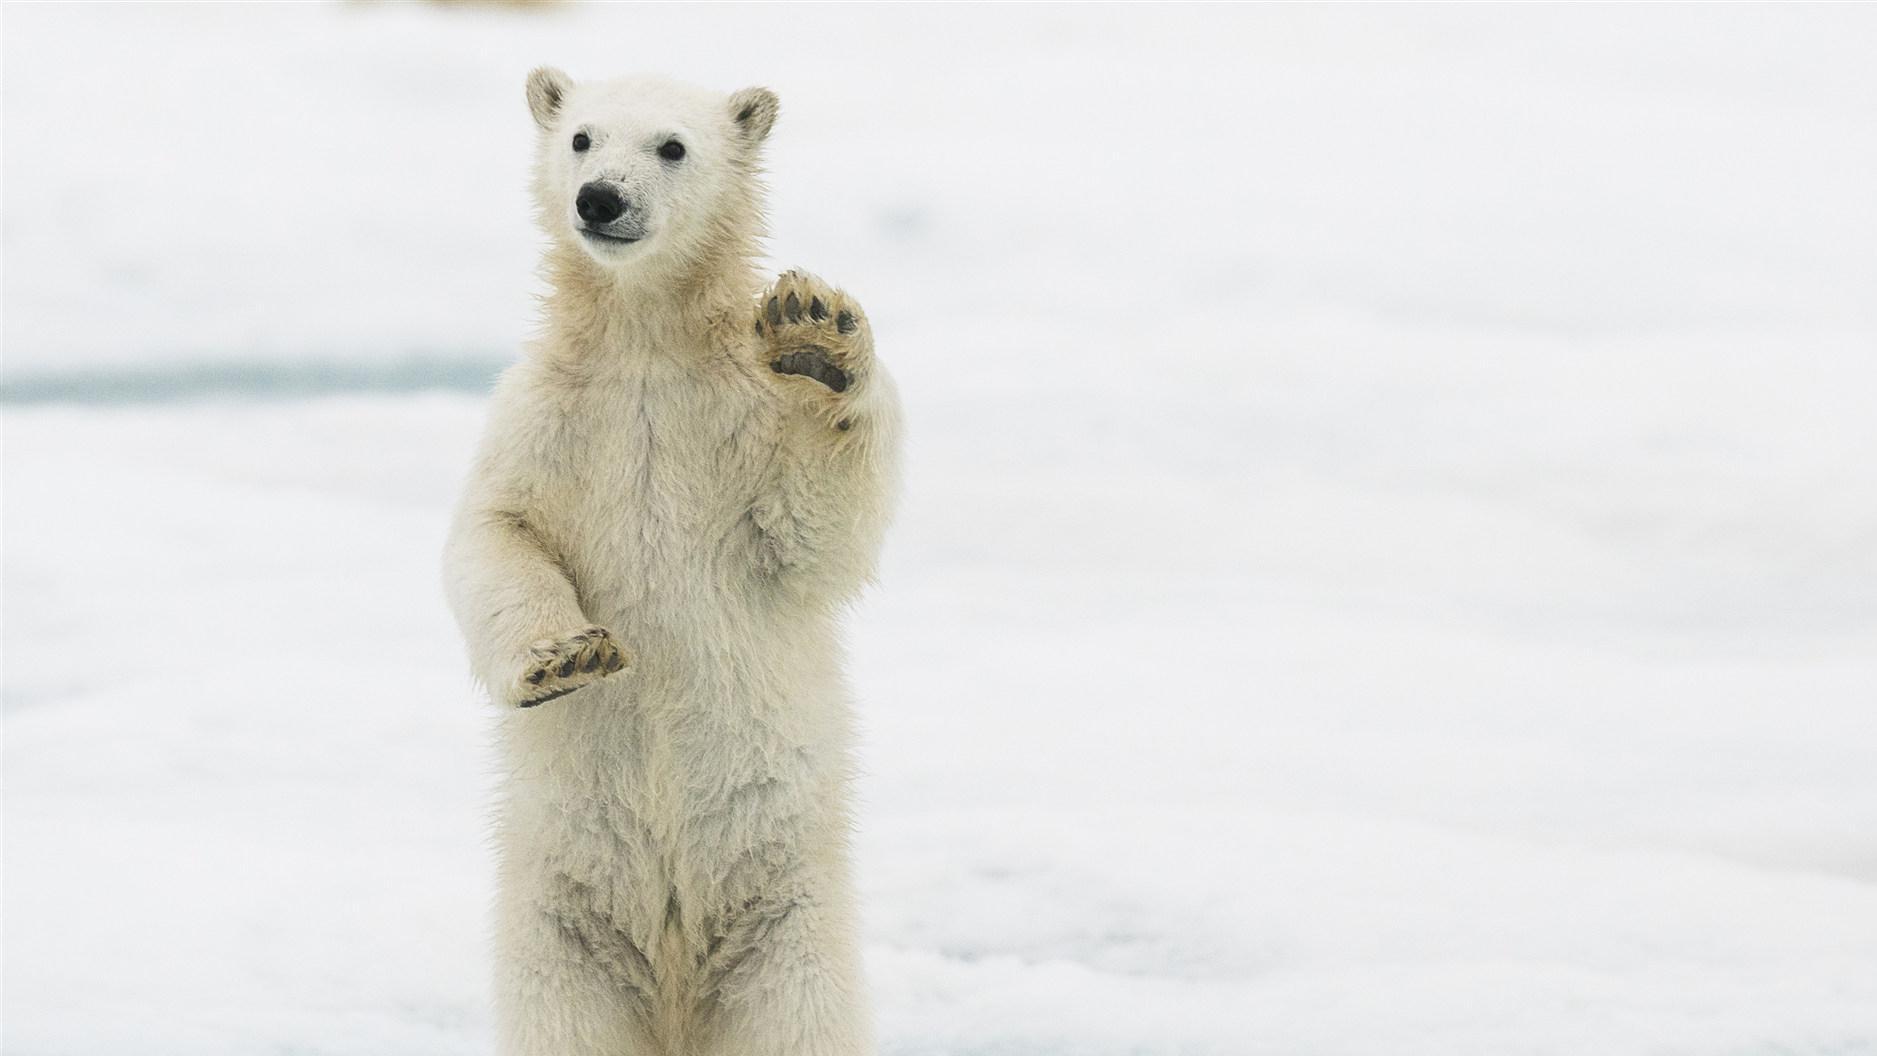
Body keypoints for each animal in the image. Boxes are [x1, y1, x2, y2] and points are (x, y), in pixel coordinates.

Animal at [446, 67, 900, 1056]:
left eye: (672, 146)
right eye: (581, 137)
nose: (599, 198)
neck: (644, 344)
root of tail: (676, 994)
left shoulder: (738, 420)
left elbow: (813, 534)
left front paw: (816, 334)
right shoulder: (545, 415)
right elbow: (496, 535)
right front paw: (566, 657)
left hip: (787, 916)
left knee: (799, 1018)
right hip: (557, 927)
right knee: (564, 1022)